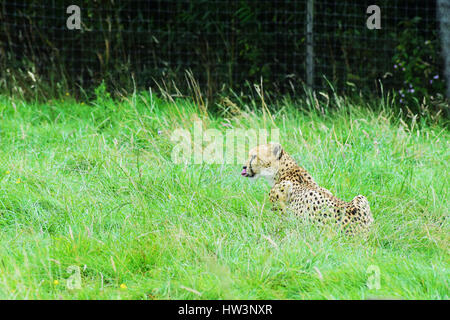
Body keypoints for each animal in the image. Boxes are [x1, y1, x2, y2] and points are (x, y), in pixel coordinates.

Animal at [241, 144, 374, 234]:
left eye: (254, 156)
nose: (243, 167)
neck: (285, 169)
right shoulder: (325, 190)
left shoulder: (283, 191)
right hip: (361, 197)